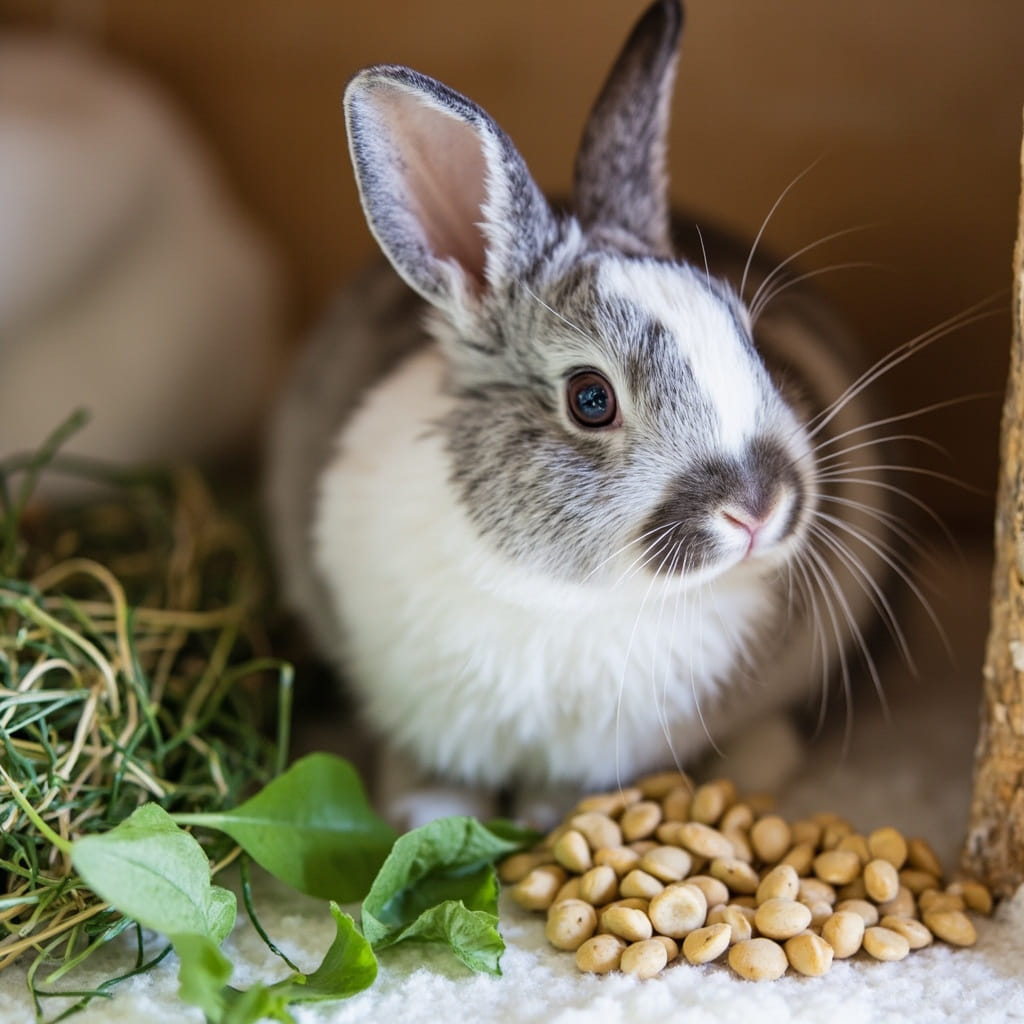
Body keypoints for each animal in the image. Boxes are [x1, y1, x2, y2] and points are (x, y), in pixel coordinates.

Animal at [266, 0, 893, 827]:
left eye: (747, 335)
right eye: (590, 399)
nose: (759, 510)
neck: (566, 594)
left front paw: (543, 818)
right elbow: (425, 773)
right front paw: (427, 815)